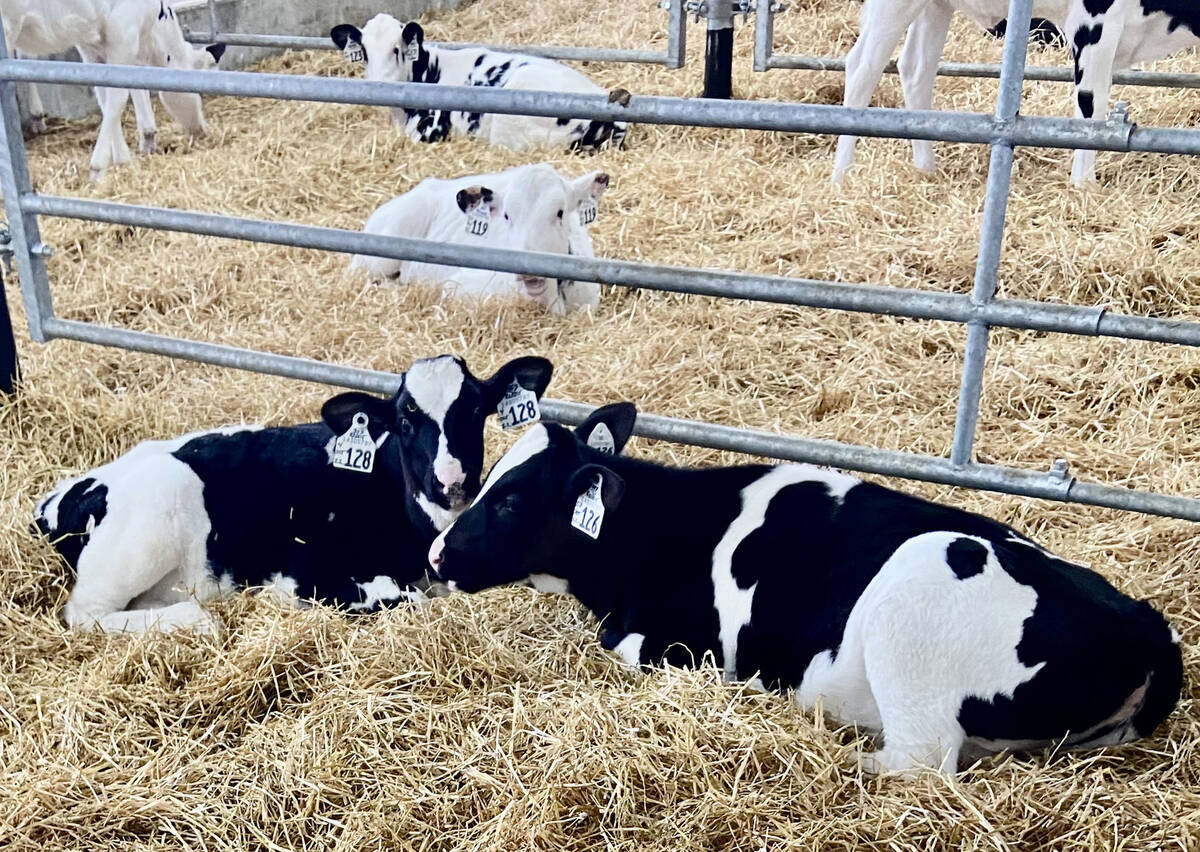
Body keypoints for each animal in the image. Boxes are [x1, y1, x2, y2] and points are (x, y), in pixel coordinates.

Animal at [1, 0, 226, 179]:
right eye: (198, 91)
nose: (201, 129)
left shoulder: (93, 46)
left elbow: (105, 95)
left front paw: (122, 159)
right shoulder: (123, 33)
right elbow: (118, 97)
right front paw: (99, 168)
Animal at [32, 354, 553, 634]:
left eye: (475, 411)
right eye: (406, 421)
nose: (451, 480)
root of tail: (56, 498)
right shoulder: (308, 571)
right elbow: (405, 598)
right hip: (149, 524)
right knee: (85, 613)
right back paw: (196, 619)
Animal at [426, 402, 1184, 776]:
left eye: (510, 501)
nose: (434, 555)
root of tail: (1145, 624)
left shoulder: (681, 643)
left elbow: (625, 647)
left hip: (918, 589)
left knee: (921, 759)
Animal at [832, 1, 1200, 187]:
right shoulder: (1094, 24)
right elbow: (1091, 112)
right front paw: (1084, 190)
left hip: (936, 4)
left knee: (915, 68)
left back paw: (926, 170)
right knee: (863, 67)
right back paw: (842, 177)